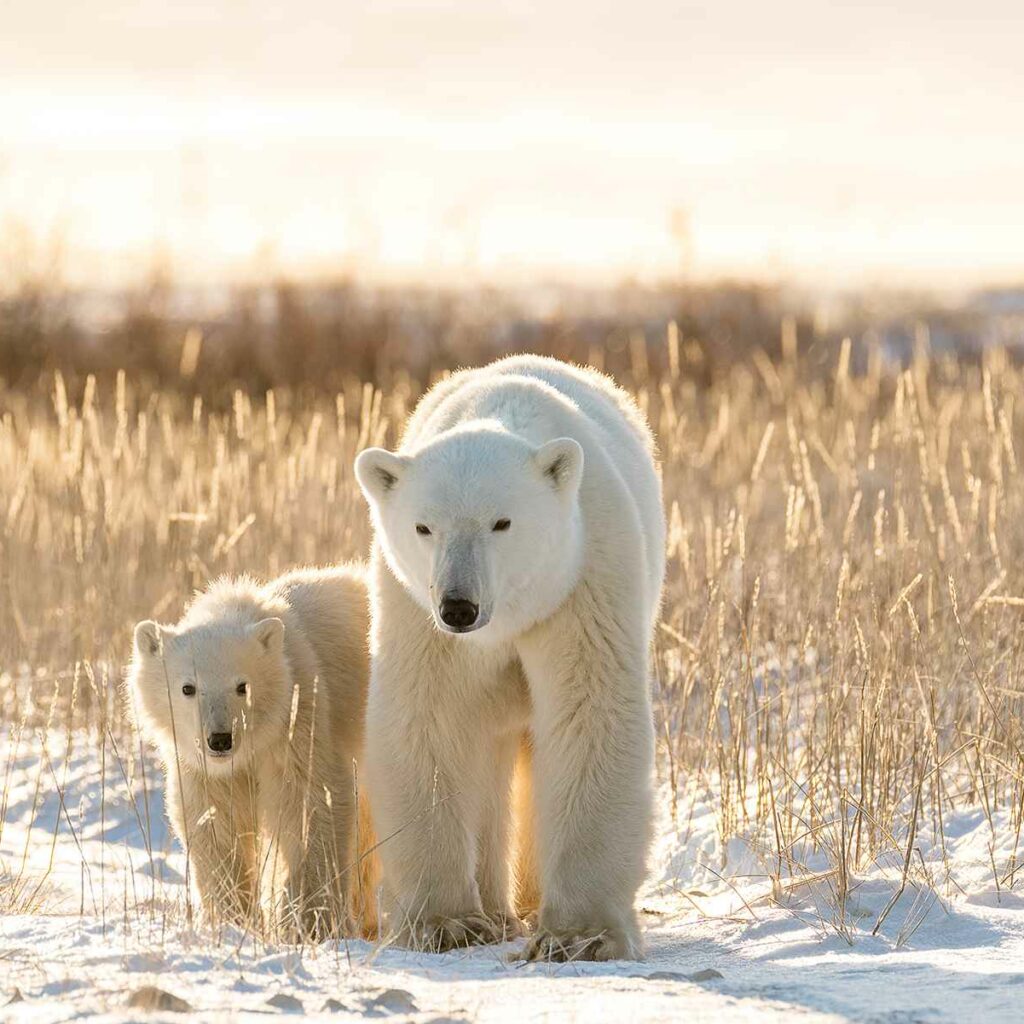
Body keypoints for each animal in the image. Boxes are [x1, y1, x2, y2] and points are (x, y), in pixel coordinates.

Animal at [128, 565, 376, 937]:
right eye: (188, 687)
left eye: (242, 686)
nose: (220, 739)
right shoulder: (205, 770)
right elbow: (214, 822)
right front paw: (232, 918)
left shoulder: (299, 725)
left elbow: (310, 805)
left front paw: (307, 921)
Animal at [356, 354, 667, 958]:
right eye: (424, 526)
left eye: (501, 522)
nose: (459, 605)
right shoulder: (417, 612)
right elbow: (429, 719)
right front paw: (445, 923)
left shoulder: (581, 583)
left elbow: (588, 715)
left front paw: (580, 936)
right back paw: (497, 912)